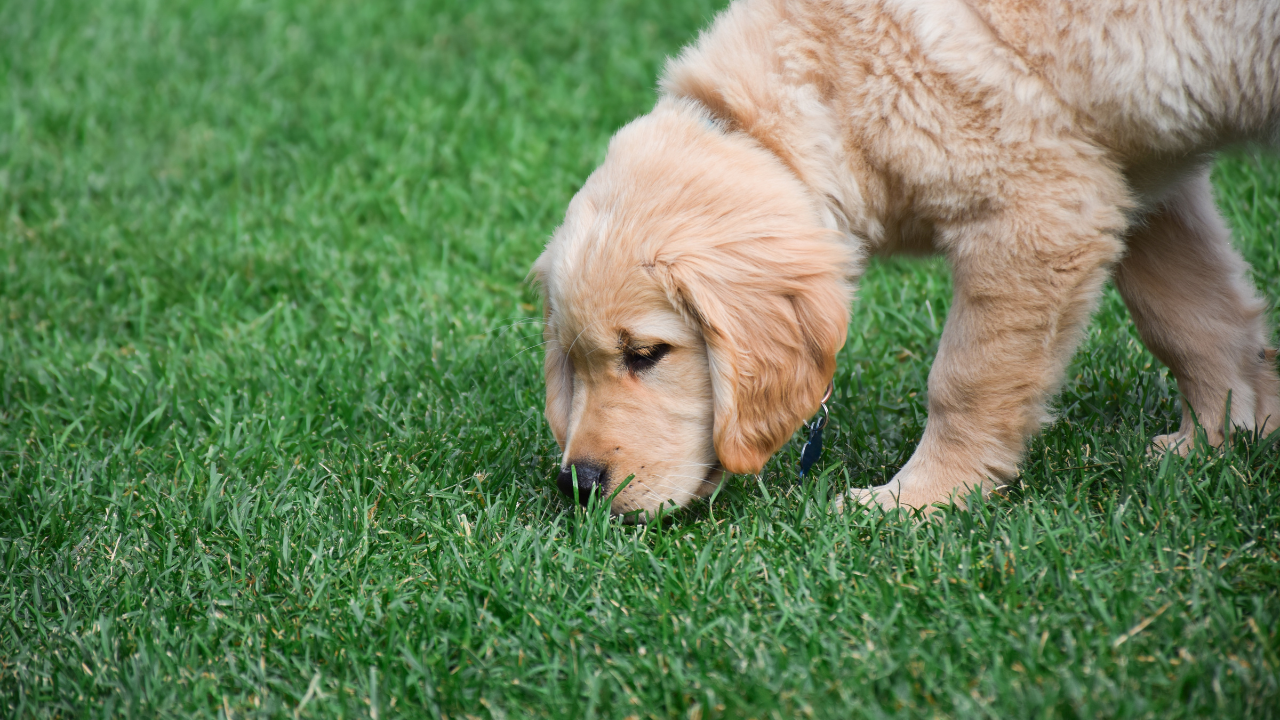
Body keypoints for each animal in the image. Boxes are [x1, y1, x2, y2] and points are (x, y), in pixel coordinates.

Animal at [527, 0, 1280, 515]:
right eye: (575, 362)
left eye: (646, 354)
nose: (577, 484)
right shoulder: (1135, 175)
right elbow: (1191, 317)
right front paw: (1220, 438)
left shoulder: (1038, 208)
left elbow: (966, 378)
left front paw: (919, 500)